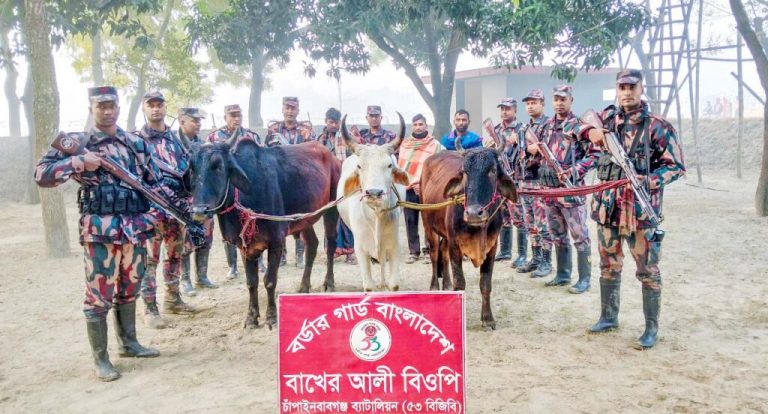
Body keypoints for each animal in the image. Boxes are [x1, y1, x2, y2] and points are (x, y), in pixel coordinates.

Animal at [334, 113, 408, 292]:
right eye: (360, 166)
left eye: (389, 165)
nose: (374, 193)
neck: (375, 216)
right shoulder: (360, 249)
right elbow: (368, 287)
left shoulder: (394, 246)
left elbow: (394, 285)